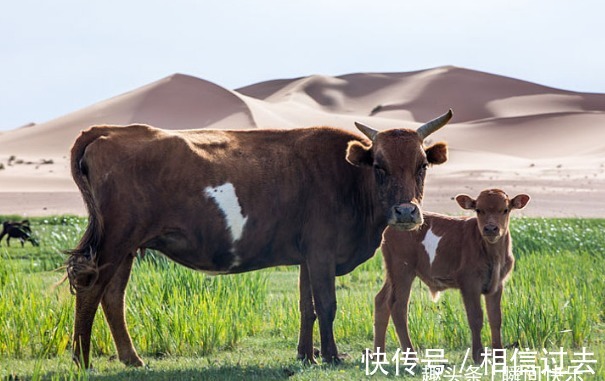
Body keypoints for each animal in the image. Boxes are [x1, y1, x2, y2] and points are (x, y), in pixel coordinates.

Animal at [67, 108, 452, 366]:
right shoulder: (322, 252)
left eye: (422, 165)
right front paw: (331, 356)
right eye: (379, 167)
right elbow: (327, 305)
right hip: (115, 241)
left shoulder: (307, 256)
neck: (349, 177)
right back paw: (82, 360)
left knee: (113, 296)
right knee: (92, 288)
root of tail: (109, 130)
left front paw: (306, 355)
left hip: (127, 247)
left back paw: (131, 358)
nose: (406, 213)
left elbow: (307, 306)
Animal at [372, 189, 528, 362]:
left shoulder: (497, 283)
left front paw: (499, 357)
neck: (493, 254)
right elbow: (476, 317)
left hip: (392, 271)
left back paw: (378, 356)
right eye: (478, 210)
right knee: (398, 306)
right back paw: (410, 356)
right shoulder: (469, 282)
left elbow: (495, 318)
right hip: (402, 270)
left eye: (505, 210)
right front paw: (478, 356)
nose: (490, 228)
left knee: (381, 300)